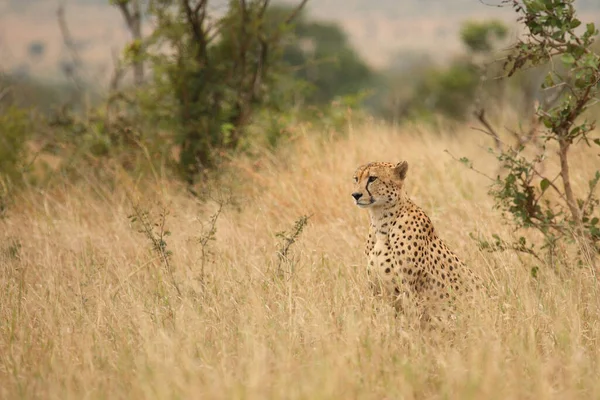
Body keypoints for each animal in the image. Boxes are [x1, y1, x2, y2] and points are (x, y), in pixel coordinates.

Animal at [354, 161, 480, 324]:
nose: (355, 195)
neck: (381, 222)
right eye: (356, 179)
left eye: (372, 178)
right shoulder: (377, 291)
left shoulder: (409, 291)